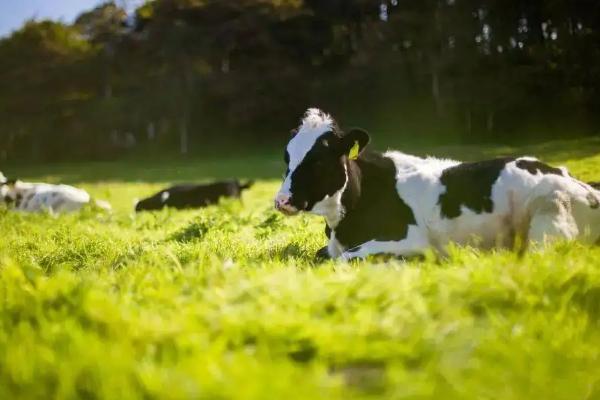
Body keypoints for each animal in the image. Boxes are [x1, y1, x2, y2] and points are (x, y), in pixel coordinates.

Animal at [276, 108, 600, 260]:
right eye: (287, 156)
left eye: (319, 160)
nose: (281, 201)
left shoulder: (410, 238)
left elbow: (343, 259)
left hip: (549, 218)